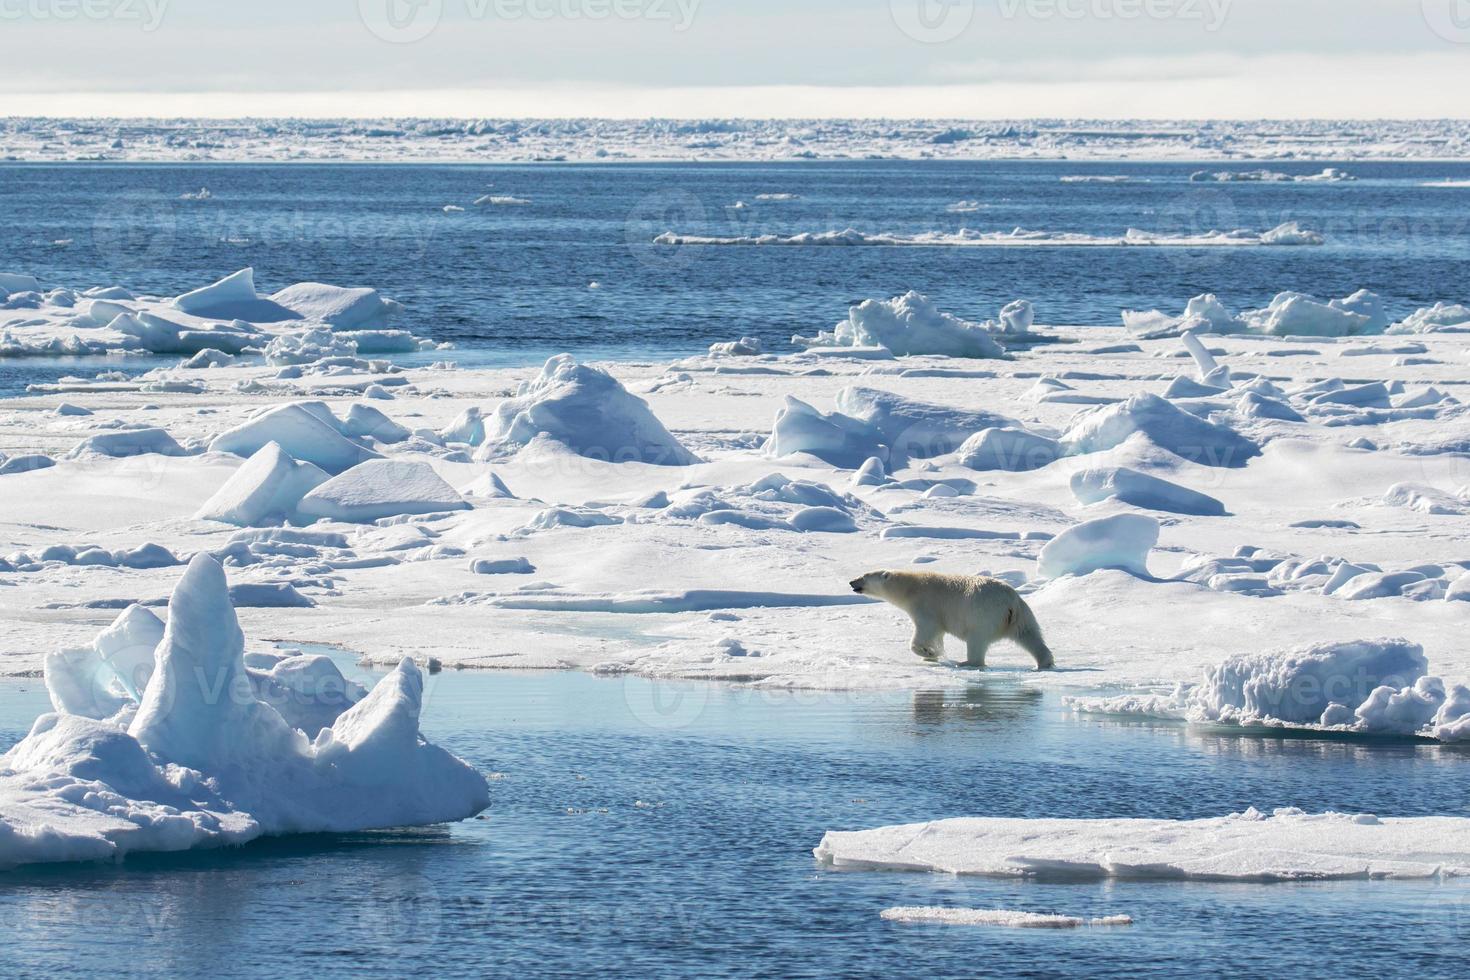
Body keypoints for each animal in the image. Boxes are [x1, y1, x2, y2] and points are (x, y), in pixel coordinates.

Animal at [852, 570, 1058, 669]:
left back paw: (965, 662)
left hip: (983, 614)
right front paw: (933, 653)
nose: (851, 582)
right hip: (1022, 615)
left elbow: (925, 629)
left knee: (976, 640)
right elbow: (938, 635)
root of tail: (1011, 602)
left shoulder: (926, 605)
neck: (911, 587)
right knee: (1029, 635)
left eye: (864, 576)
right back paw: (1044, 662)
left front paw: (928, 652)